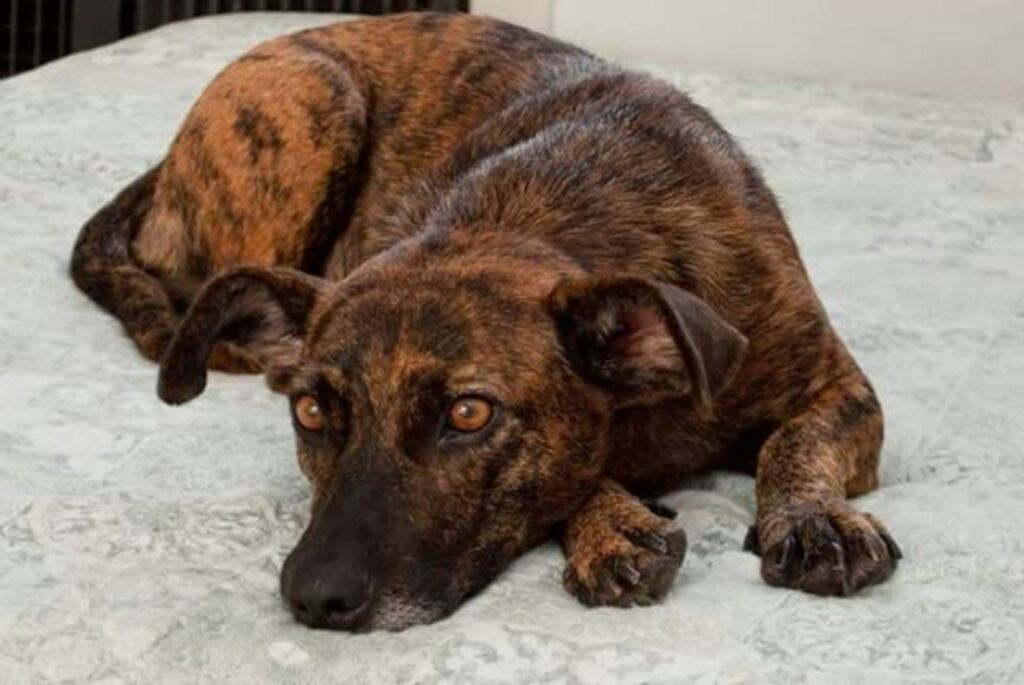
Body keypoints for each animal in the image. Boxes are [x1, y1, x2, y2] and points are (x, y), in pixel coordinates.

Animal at [70, 12, 897, 630]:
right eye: (311, 411)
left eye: (469, 414)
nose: (314, 597)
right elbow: (572, 473)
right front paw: (609, 516)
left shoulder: (840, 389)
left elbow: (794, 442)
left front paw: (813, 517)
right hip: (314, 104)